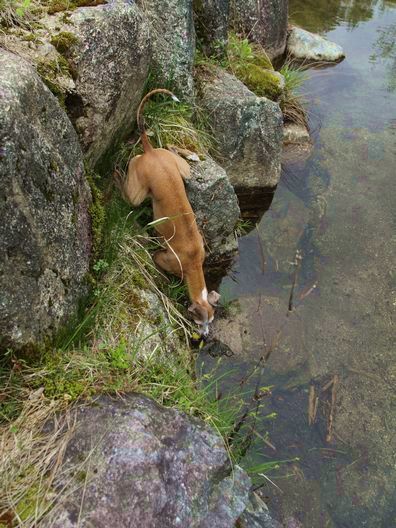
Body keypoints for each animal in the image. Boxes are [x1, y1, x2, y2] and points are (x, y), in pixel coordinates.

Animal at [116, 86, 220, 334]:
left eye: (211, 321)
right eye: (200, 323)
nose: (206, 336)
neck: (194, 263)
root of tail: (150, 151)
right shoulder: (164, 259)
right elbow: (157, 260)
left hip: (181, 169)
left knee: (176, 153)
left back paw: (189, 153)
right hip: (137, 190)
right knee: (129, 191)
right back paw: (117, 175)